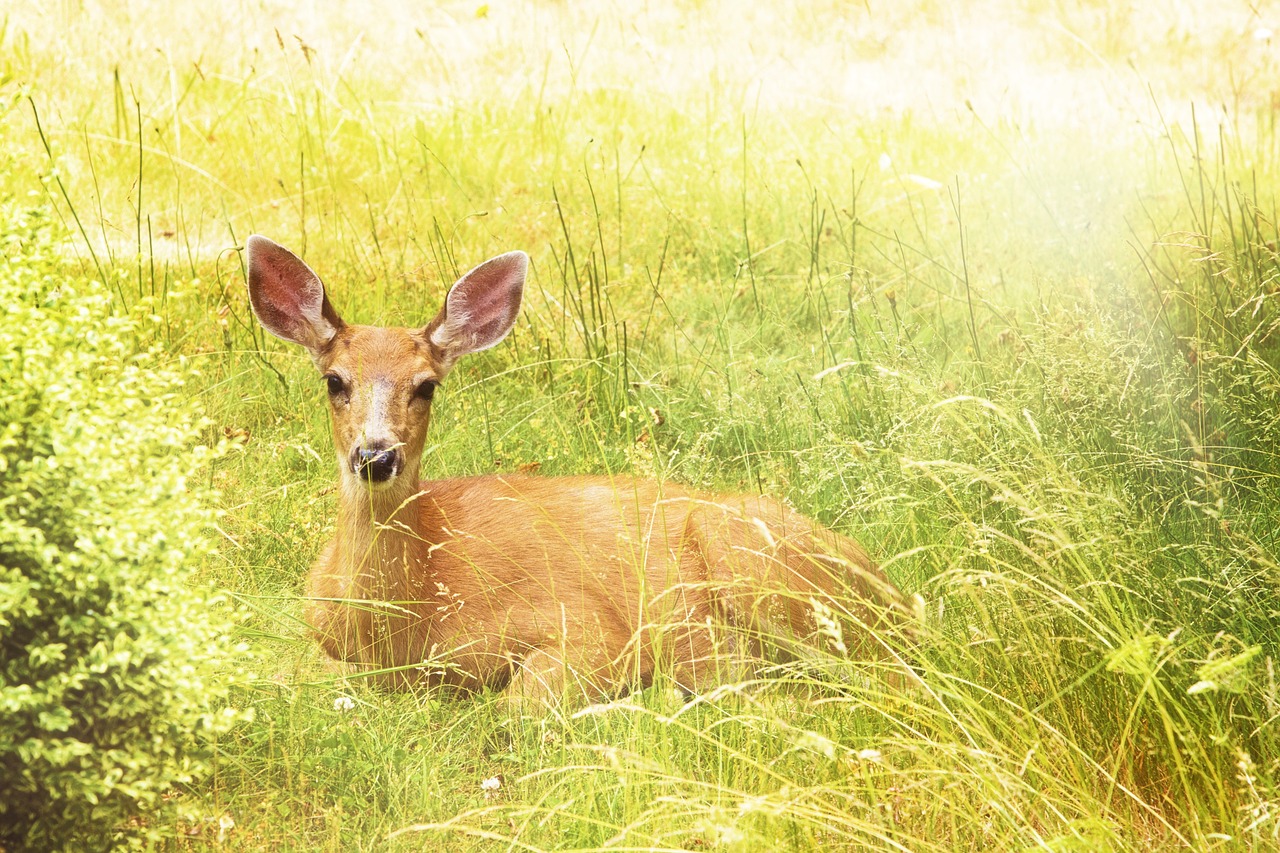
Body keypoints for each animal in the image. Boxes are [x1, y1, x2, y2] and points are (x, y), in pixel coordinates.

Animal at [241, 234, 921, 701]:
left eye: (427, 386)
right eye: (335, 380)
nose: (376, 455)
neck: (400, 624)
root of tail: (900, 599)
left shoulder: (586, 626)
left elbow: (518, 706)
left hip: (757, 561)